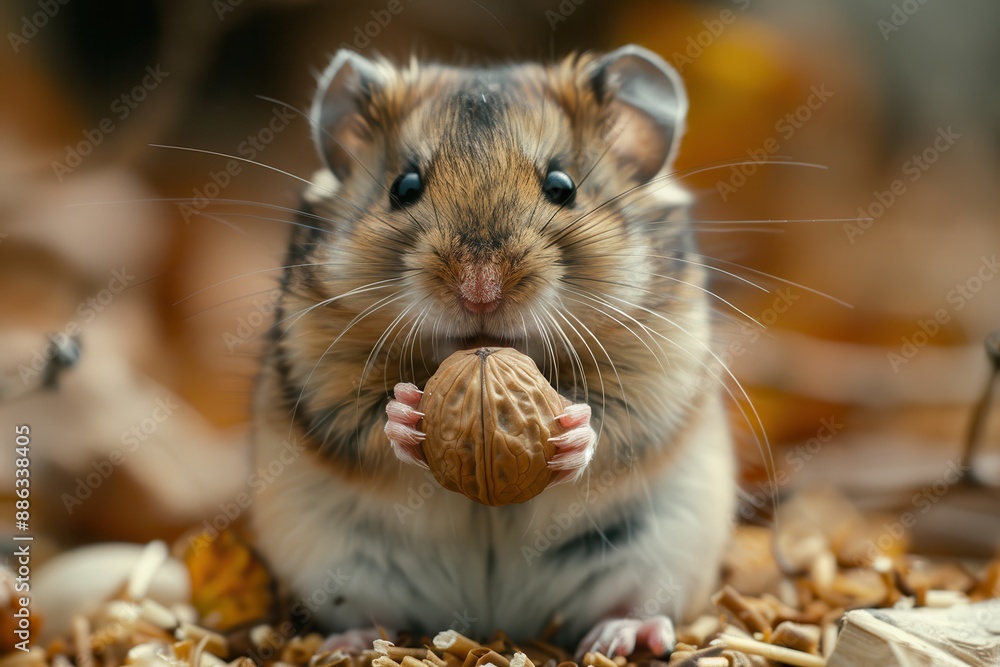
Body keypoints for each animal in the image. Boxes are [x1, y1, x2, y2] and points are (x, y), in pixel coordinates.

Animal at [249, 45, 735, 657]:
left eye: (562, 186)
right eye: (404, 187)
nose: (479, 289)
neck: (483, 350)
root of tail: (492, 623)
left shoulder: (658, 365)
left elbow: (611, 421)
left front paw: (572, 431)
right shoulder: (319, 366)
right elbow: (370, 421)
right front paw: (406, 413)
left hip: (660, 550)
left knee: (639, 602)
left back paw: (623, 636)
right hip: (334, 561)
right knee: (365, 613)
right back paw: (351, 643)